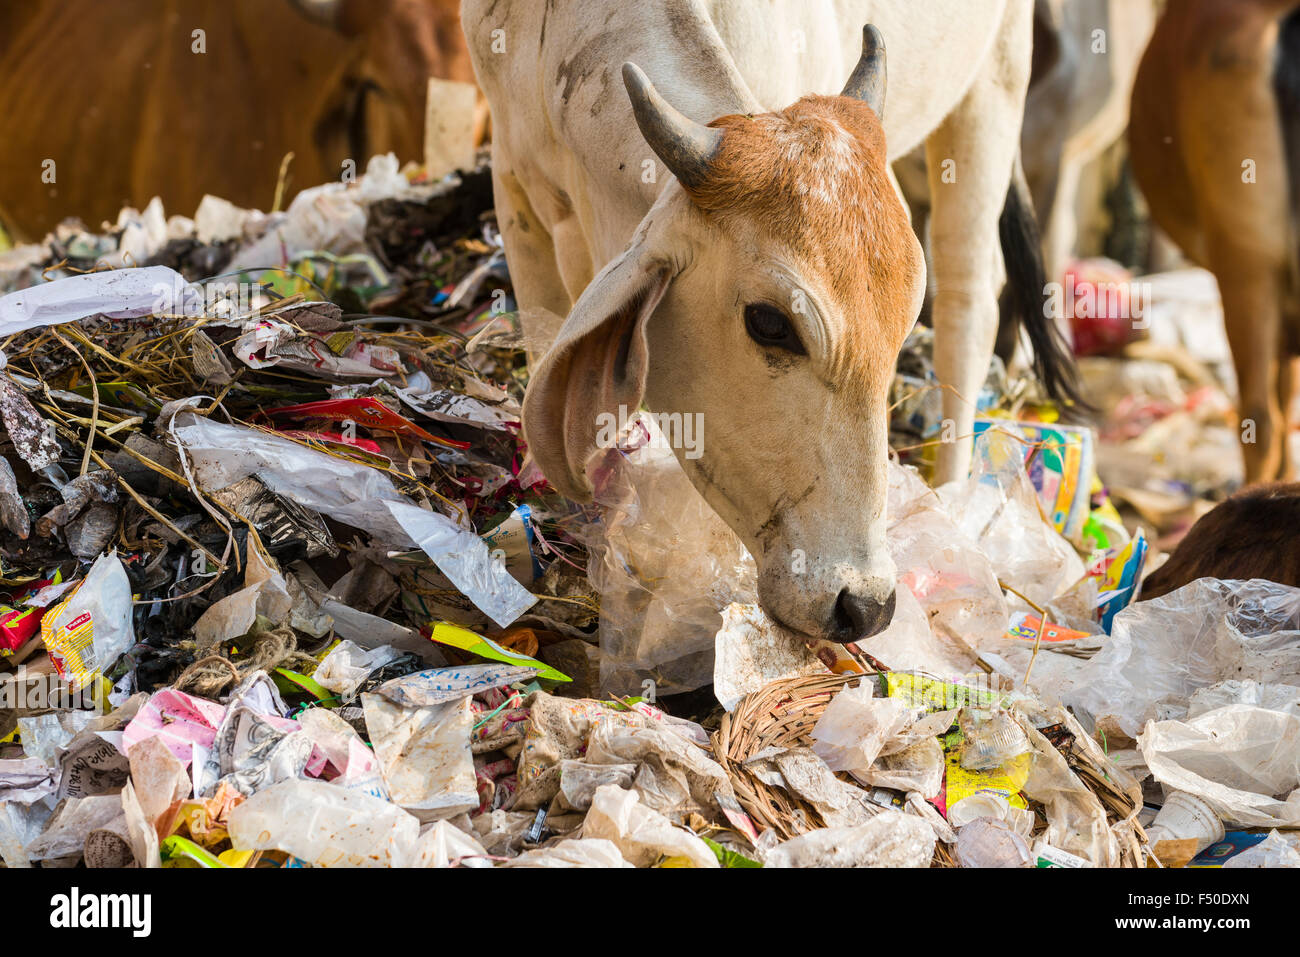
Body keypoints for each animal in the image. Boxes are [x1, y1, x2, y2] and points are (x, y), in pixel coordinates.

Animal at [464, 0, 1081, 645]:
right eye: (769, 323)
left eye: (904, 323)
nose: (865, 606)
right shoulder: (514, 183)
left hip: (995, 85)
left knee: (970, 304)